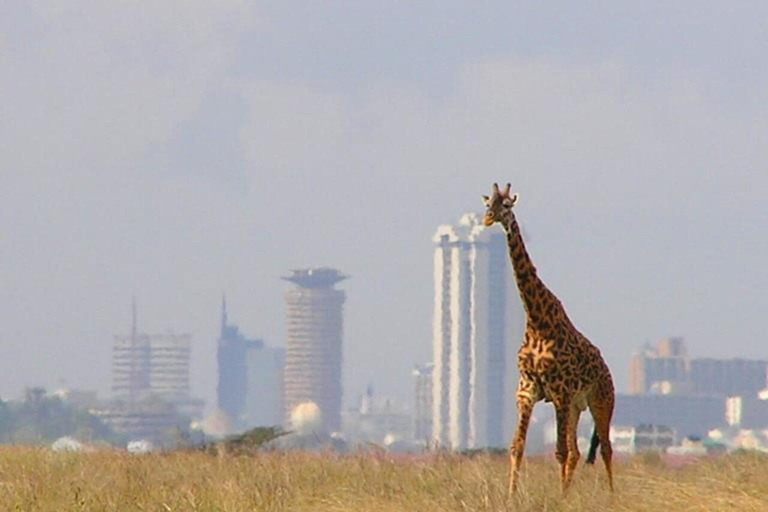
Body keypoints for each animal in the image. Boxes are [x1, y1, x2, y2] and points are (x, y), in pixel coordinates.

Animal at [484, 182, 616, 494]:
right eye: (487, 203)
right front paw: (511, 497)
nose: (488, 218)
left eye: (507, 205)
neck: (537, 321)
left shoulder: (559, 391)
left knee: (605, 448)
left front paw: (559, 498)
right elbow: (517, 447)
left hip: (601, 401)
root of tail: (606, 369)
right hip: (577, 406)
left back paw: (612, 496)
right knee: (579, 452)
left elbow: (559, 451)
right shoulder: (527, 390)